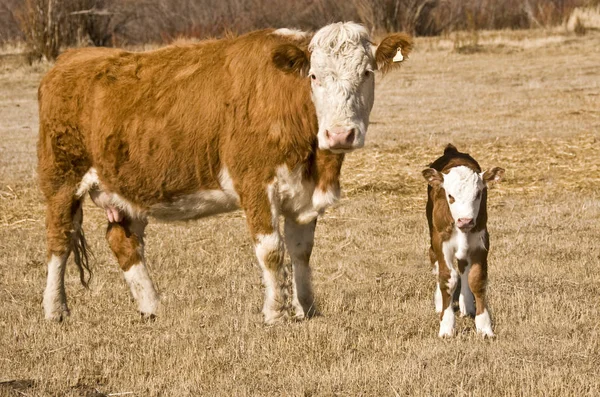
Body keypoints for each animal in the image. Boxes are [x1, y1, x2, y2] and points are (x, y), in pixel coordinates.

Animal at [37, 22, 412, 322]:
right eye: (314, 76)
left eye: (366, 73)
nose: (340, 134)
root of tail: (70, 59)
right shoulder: (256, 184)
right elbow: (271, 251)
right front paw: (276, 313)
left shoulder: (302, 196)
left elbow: (301, 251)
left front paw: (307, 308)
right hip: (61, 180)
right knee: (59, 241)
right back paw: (56, 310)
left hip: (130, 187)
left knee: (123, 240)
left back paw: (152, 308)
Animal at [422, 144, 506, 336]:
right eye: (450, 196)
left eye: (478, 194)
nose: (465, 220)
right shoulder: (441, 242)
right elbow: (447, 278)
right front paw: (446, 326)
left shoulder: (481, 241)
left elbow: (476, 279)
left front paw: (484, 326)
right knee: (436, 263)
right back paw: (439, 302)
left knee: (463, 267)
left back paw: (466, 305)